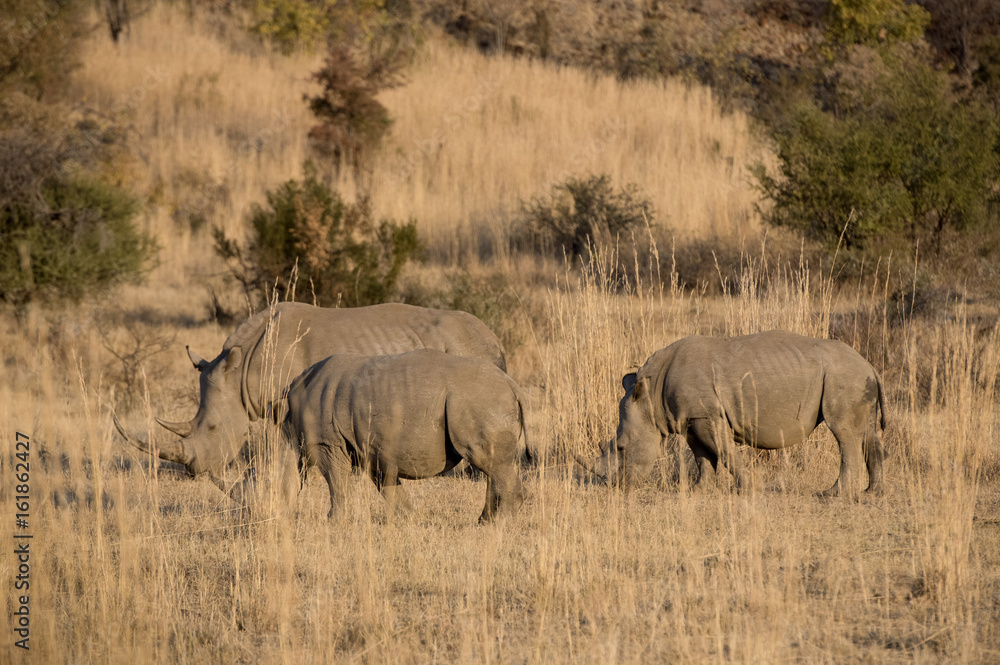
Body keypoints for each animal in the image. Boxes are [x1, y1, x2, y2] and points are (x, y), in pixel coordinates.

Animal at [224, 349, 532, 523]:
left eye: (262, 482)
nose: (250, 518)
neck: (287, 427)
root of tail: (513, 385)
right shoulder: (372, 447)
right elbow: (387, 486)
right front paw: (409, 518)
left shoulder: (326, 443)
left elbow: (336, 482)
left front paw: (333, 522)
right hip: (485, 401)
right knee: (493, 466)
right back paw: (484, 522)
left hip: (482, 401)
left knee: (492, 464)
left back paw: (500, 526)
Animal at [576, 330, 886, 496]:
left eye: (621, 447)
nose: (614, 487)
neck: (650, 397)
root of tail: (870, 365)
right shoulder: (692, 418)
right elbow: (703, 457)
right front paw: (697, 491)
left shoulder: (705, 416)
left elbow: (724, 453)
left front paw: (748, 488)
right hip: (856, 378)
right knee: (867, 432)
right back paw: (871, 493)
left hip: (843, 376)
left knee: (844, 433)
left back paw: (832, 494)